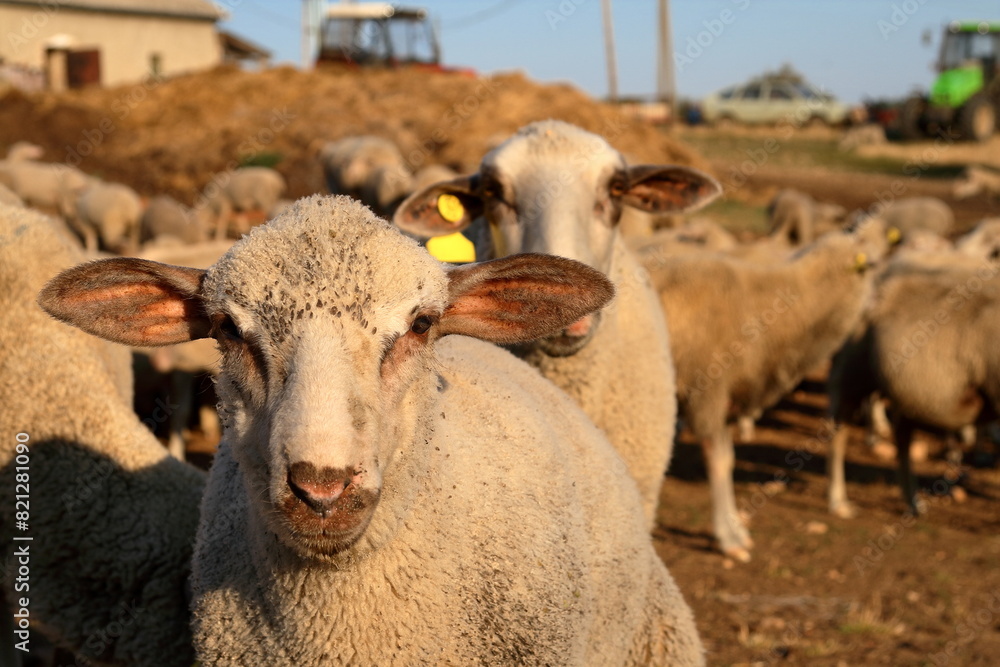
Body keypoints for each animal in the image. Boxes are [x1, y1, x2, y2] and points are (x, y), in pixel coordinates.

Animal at [646, 231, 883, 560]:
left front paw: (736, 529)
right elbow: (717, 460)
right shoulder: (707, 390)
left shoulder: (728, 396)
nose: (880, 308)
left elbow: (729, 459)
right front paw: (729, 539)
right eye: (873, 266)